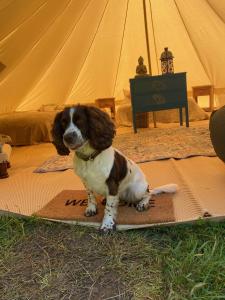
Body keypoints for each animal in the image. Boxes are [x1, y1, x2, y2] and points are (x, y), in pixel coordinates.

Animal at [51, 104, 177, 233]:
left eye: (80, 121)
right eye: (63, 123)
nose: (67, 138)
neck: (90, 158)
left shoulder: (112, 183)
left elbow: (109, 207)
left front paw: (107, 225)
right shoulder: (86, 182)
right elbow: (90, 197)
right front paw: (91, 209)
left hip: (137, 191)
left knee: (148, 194)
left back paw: (143, 204)